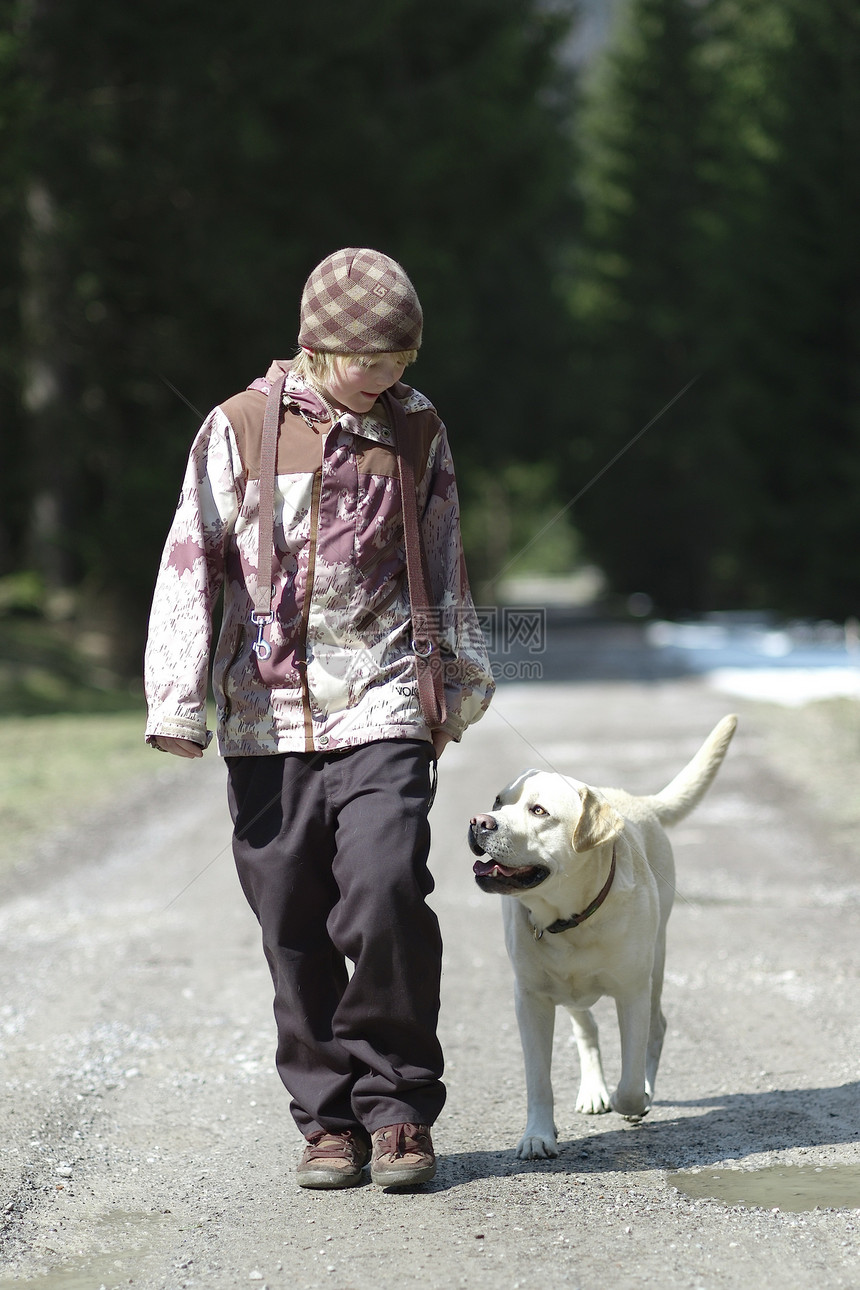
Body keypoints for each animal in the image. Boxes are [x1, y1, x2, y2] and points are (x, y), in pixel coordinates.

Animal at [466, 717, 737, 1161]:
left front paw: (637, 1100)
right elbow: (538, 1080)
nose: (479, 820)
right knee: (586, 1026)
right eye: (499, 801)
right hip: (569, 992)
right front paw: (538, 1134)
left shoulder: (632, 993)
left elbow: (629, 1082)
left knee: (657, 1027)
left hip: (656, 965)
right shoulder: (531, 1000)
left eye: (538, 811)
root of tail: (640, 801)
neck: (569, 920)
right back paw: (593, 1090)